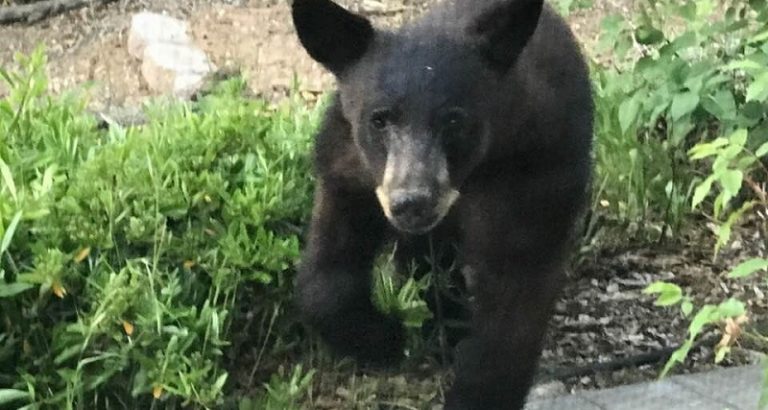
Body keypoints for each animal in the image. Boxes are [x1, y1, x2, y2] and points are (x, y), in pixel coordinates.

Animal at [290, 0, 593, 408]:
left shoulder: (528, 185)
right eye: (379, 119)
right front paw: (385, 337)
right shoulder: (348, 167)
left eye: (453, 119)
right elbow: (326, 272)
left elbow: (512, 305)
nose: (412, 202)